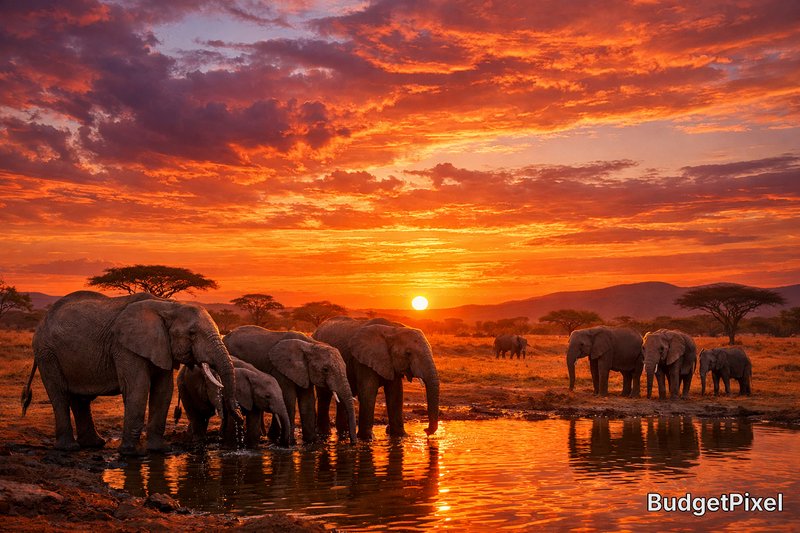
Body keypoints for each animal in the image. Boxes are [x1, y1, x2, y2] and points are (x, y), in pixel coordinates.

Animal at [21, 291, 241, 455]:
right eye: (192, 334)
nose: (238, 415)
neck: (167, 306)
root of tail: (42, 320)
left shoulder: (161, 347)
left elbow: (163, 391)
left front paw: (160, 450)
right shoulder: (124, 346)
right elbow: (138, 388)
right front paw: (132, 453)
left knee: (80, 398)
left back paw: (94, 444)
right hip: (47, 353)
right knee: (60, 395)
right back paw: (69, 448)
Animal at [223, 325, 357, 444]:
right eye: (325, 370)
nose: (353, 442)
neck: (310, 345)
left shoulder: (304, 372)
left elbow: (307, 403)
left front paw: (311, 442)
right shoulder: (281, 370)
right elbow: (289, 400)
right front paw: (290, 443)